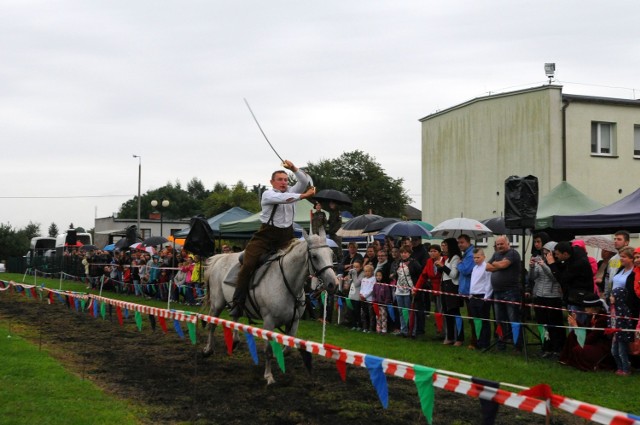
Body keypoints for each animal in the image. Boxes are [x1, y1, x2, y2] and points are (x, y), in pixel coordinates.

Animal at [202, 227, 338, 382]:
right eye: (314, 256)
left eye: (331, 254)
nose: (333, 284)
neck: (286, 283)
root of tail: (220, 258)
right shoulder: (269, 322)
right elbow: (268, 350)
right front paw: (268, 376)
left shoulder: (294, 322)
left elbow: (287, 349)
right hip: (217, 304)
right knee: (212, 324)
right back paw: (208, 349)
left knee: (234, 316)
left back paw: (235, 341)